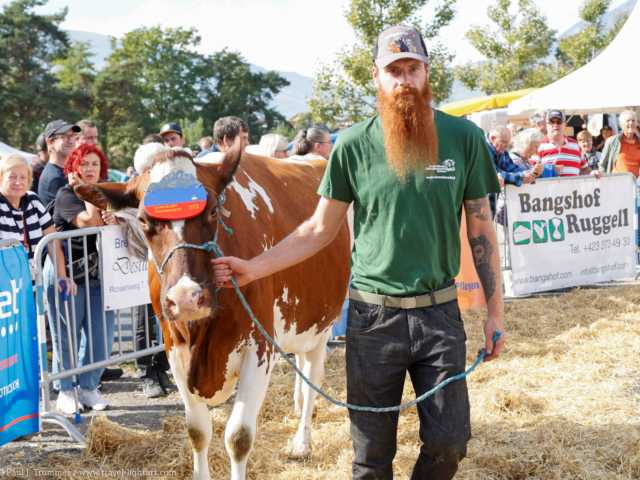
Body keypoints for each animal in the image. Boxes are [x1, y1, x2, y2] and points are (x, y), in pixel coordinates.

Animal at [77, 144, 352, 478]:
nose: (186, 299)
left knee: (313, 376)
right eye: (142, 220)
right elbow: (197, 431)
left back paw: (301, 442)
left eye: (212, 211)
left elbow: (239, 437)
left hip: (322, 323)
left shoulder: (260, 349)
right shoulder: (174, 351)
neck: (202, 339)